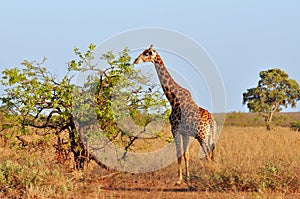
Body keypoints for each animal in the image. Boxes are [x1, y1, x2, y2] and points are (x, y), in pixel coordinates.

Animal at [134, 45, 216, 185]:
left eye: (147, 53)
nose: (135, 60)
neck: (173, 99)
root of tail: (211, 120)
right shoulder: (185, 133)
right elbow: (186, 154)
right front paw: (187, 178)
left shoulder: (175, 129)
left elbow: (178, 154)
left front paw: (179, 180)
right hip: (210, 135)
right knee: (211, 153)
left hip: (201, 136)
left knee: (208, 155)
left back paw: (209, 177)